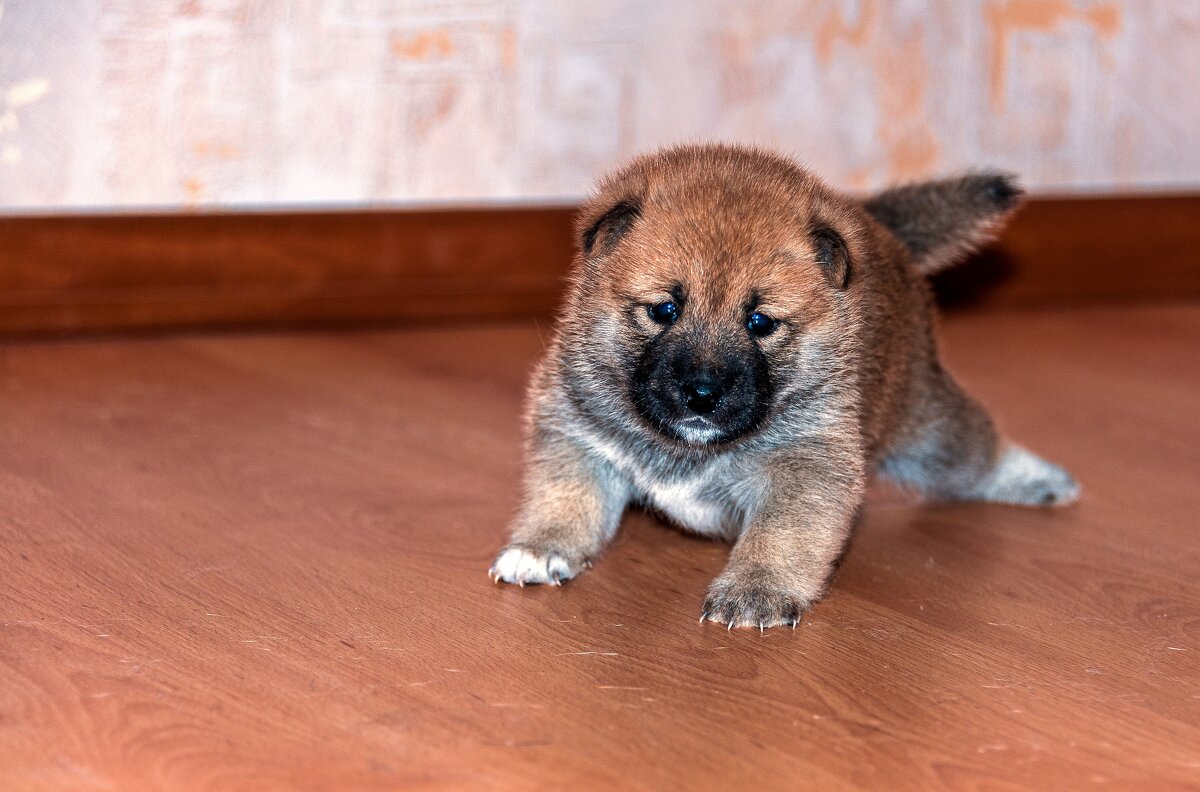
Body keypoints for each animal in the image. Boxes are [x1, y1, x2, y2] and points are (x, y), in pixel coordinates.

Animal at [487, 145, 1080, 628]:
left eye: (761, 322)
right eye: (664, 310)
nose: (702, 394)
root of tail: (880, 229)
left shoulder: (805, 466)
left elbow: (782, 535)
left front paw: (756, 590)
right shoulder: (577, 437)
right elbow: (564, 499)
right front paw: (540, 548)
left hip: (925, 429)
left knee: (975, 451)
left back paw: (1038, 479)